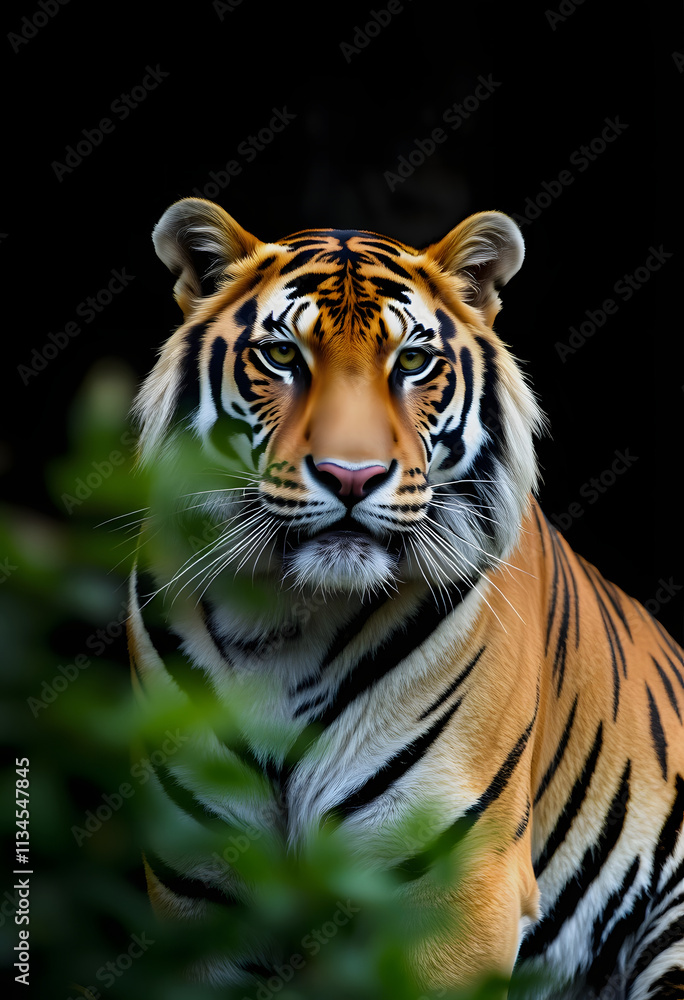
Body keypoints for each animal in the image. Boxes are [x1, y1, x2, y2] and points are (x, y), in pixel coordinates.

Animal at [127, 196, 684, 999]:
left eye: (413, 363)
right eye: (283, 356)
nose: (351, 476)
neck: (287, 622)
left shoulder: (455, 887)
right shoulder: (197, 893)